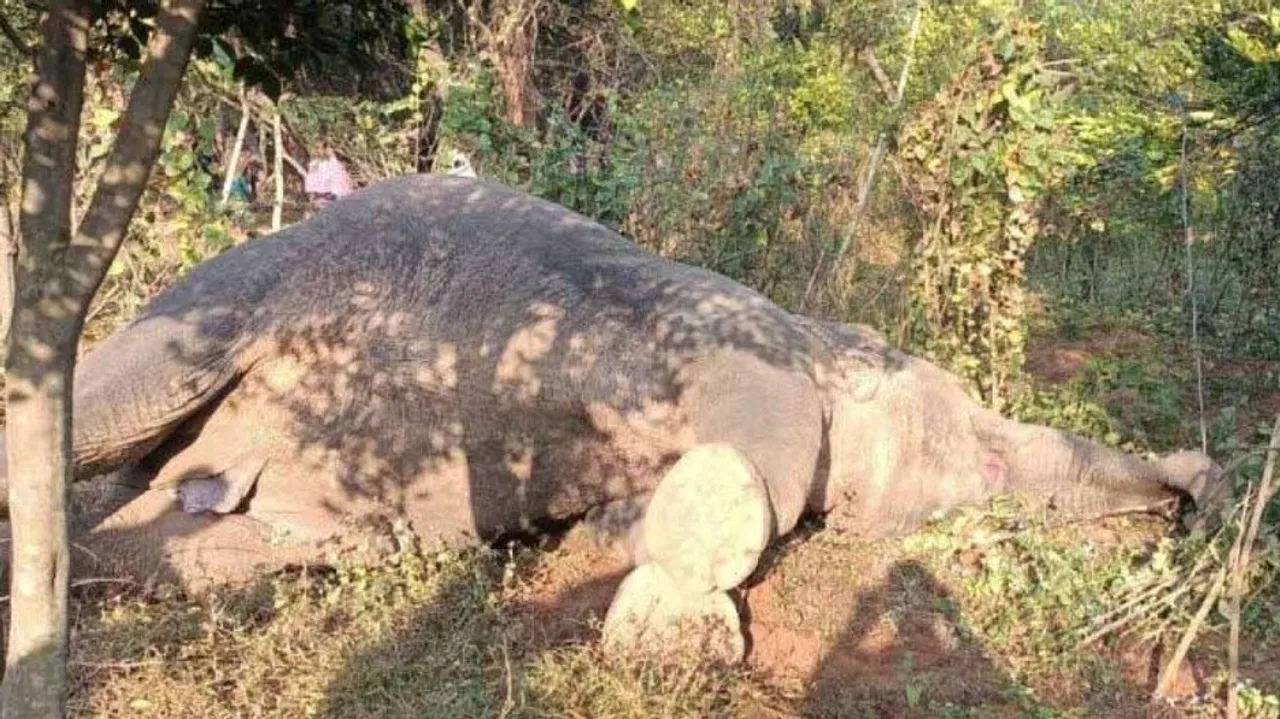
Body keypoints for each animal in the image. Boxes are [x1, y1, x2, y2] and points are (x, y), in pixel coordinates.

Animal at [0, 175, 1223, 661]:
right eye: (978, 442)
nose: (1190, 487)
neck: (834, 344)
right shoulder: (719, 325)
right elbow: (758, 443)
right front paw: (669, 628)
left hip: (271, 516)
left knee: (200, 546)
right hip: (228, 297)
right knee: (114, 405)